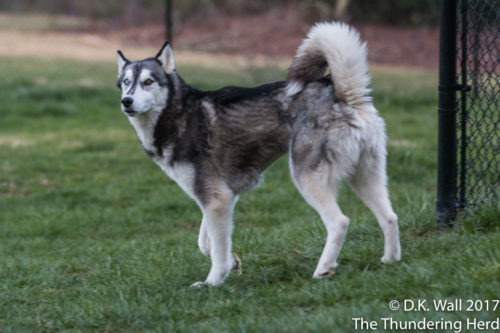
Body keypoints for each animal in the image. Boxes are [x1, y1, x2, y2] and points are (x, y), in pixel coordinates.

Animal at [115, 22, 400, 286]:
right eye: (126, 83)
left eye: (148, 82)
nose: (126, 101)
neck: (179, 114)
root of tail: (344, 94)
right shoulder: (222, 196)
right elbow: (206, 242)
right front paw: (233, 263)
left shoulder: (215, 198)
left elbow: (216, 249)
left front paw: (212, 282)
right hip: (365, 177)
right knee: (389, 217)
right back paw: (390, 260)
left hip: (306, 177)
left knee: (339, 222)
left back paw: (323, 269)